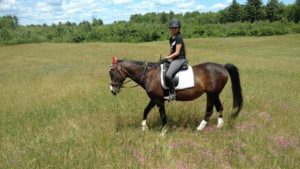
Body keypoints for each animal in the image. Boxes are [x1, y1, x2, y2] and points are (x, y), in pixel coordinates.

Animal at [109, 56, 243, 134]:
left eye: (112, 73)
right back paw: (219, 126)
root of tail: (222, 67)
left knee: (209, 111)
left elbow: (163, 115)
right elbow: (145, 111)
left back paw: (199, 129)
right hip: (214, 94)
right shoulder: (154, 98)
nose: (112, 90)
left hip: (211, 94)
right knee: (219, 107)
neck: (149, 75)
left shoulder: (159, 100)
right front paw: (143, 128)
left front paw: (163, 132)